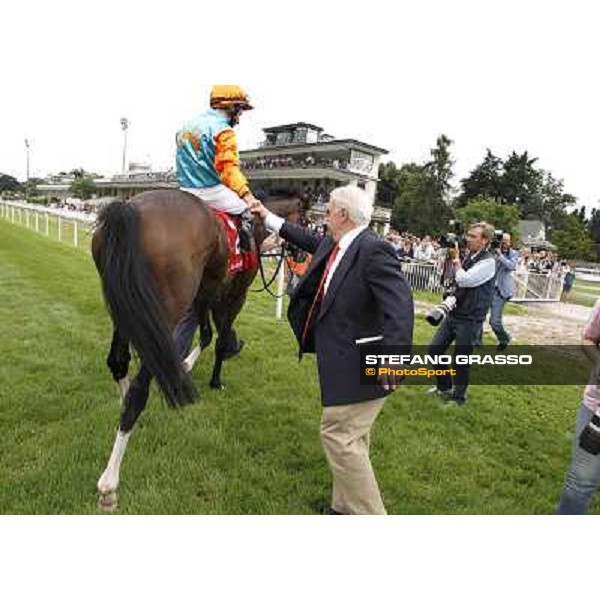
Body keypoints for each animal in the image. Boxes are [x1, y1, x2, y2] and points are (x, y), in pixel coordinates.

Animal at [91, 189, 300, 510]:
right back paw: (109, 483)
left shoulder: (206, 292)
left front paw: (187, 365)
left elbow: (206, 333)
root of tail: (128, 209)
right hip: (165, 308)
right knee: (139, 386)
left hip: (126, 305)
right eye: (310, 219)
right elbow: (219, 336)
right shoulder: (235, 293)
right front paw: (216, 377)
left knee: (118, 362)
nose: (301, 256)